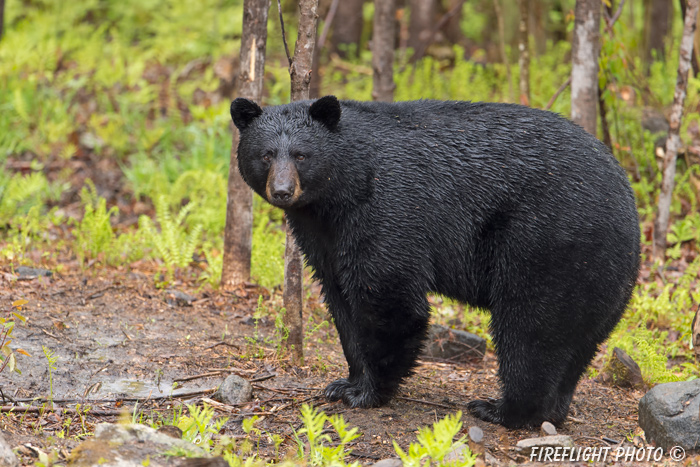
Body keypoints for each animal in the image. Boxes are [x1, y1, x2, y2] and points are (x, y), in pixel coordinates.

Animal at [230, 95, 640, 428]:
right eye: (266, 154)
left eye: (302, 155)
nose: (283, 191)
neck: (342, 190)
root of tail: (629, 206)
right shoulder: (323, 236)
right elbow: (341, 300)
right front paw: (346, 382)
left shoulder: (387, 209)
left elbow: (390, 298)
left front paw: (368, 392)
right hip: (599, 276)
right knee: (577, 343)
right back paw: (553, 410)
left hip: (547, 245)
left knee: (531, 330)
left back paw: (503, 410)